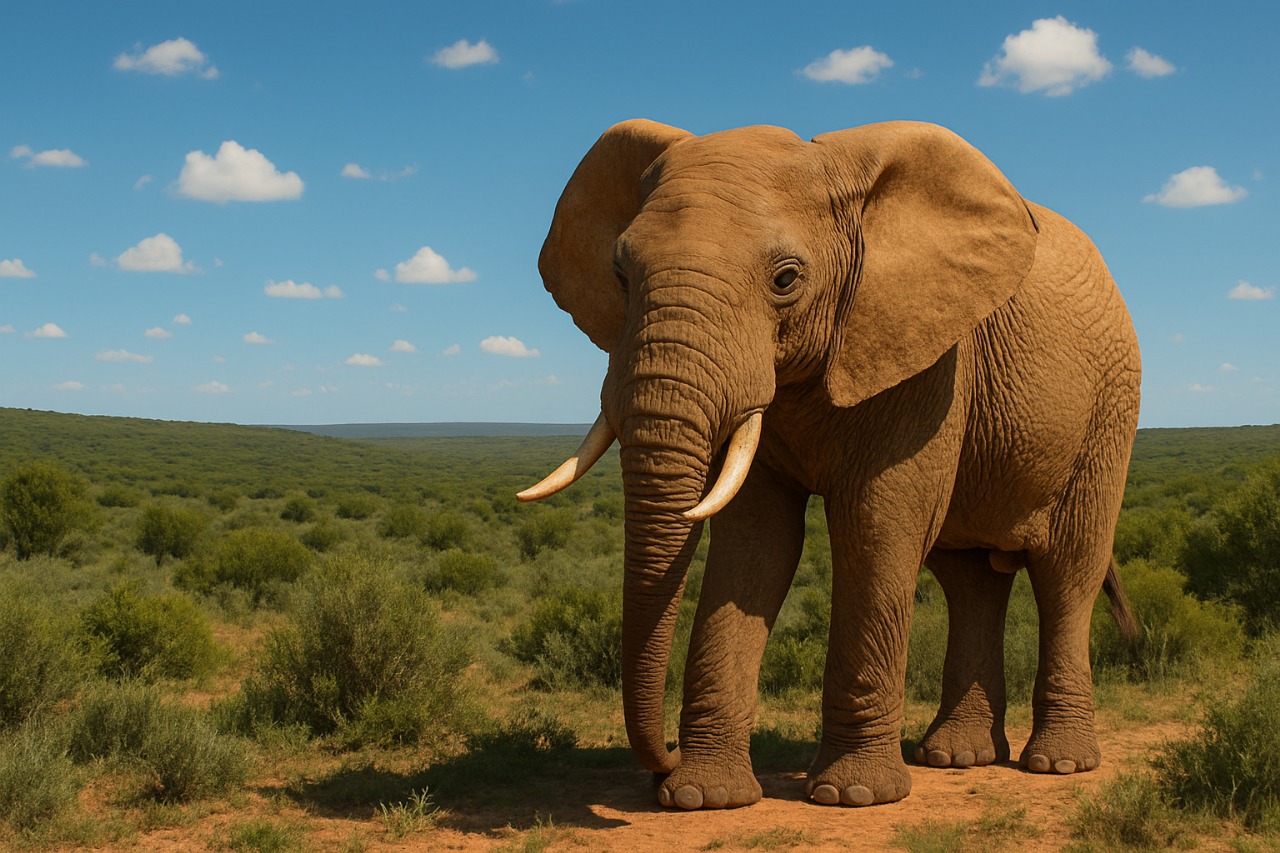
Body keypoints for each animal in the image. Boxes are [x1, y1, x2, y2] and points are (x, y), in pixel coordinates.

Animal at [518, 119, 1142, 810]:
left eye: (786, 278)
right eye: (620, 274)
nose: (663, 759)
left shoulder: (926, 356)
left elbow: (877, 528)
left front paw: (855, 796)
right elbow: (757, 541)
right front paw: (704, 796)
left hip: (1109, 409)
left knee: (1069, 569)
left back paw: (1058, 765)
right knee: (971, 580)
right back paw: (955, 758)